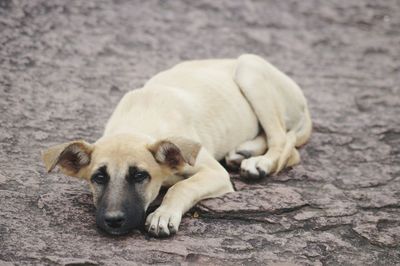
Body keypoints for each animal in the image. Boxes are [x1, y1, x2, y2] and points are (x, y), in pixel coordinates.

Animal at [43, 54, 312, 237]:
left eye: (140, 176)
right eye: (98, 178)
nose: (114, 220)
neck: (139, 119)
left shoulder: (215, 173)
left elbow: (181, 187)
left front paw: (163, 215)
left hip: (249, 69)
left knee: (284, 142)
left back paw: (260, 162)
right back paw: (244, 150)